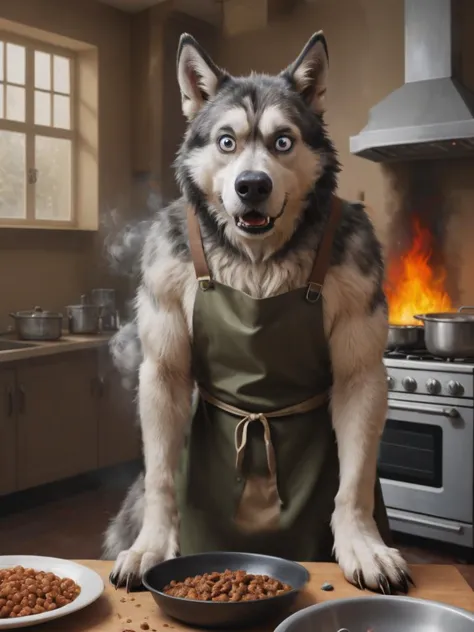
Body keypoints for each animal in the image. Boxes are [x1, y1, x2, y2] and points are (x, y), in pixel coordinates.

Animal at [104, 30, 412, 592]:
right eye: (227, 141)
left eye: (282, 142)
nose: (252, 185)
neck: (258, 262)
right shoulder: (162, 365)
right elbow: (161, 477)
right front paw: (153, 544)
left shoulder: (361, 371)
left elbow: (354, 483)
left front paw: (362, 544)